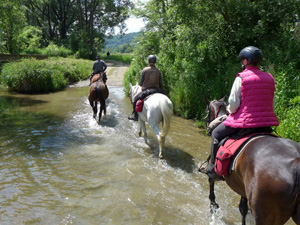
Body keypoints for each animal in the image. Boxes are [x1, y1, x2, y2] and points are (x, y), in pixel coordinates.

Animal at [202, 97, 300, 225]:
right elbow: (243, 209)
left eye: (206, 112)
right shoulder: (242, 186)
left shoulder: (215, 174)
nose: (208, 129)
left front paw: (213, 207)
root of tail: (295, 163)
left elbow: (211, 186)